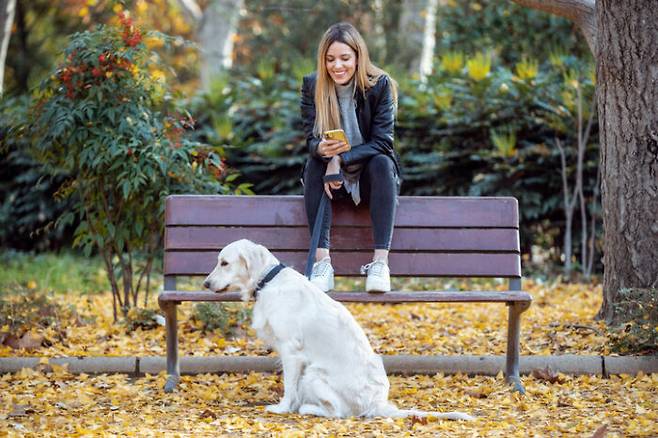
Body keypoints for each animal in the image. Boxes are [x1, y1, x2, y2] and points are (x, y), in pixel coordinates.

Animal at [201, 240, 472, 420]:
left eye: (224, 263)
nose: (205, 283)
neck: (269, 280)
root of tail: (378, 405)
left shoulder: (291, 351)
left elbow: (289, 386)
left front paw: (283, 407)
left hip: (314, 373)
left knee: (338, 412)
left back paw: (307, 408)